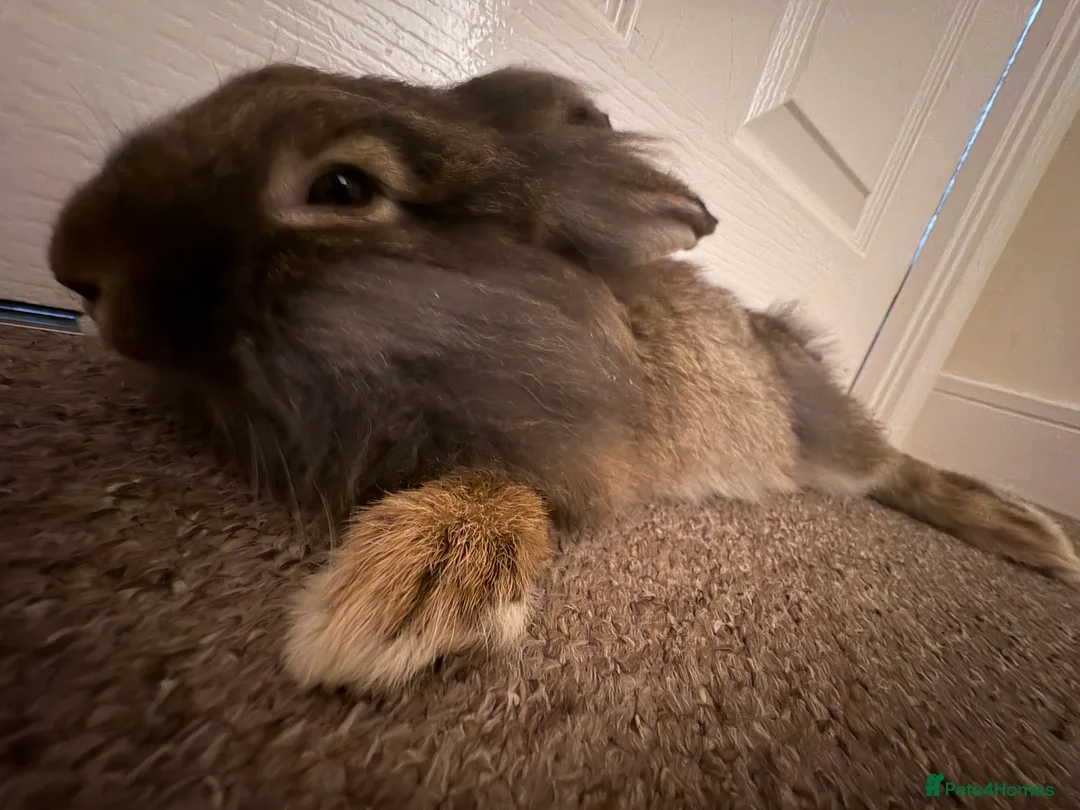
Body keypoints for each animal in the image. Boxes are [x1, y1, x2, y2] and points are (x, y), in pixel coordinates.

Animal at [48, 63, 1080, 694]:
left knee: (897, 468)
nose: (73, 264)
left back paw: (1036, 538)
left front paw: (389, 603)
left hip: (831, 435)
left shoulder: (566, 452)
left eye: (342, 189)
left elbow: (501, 494)